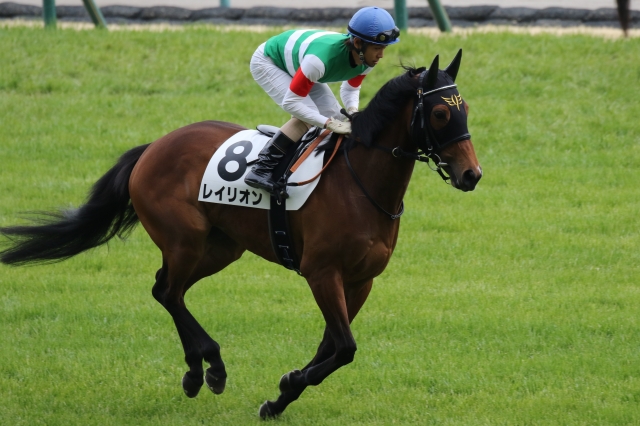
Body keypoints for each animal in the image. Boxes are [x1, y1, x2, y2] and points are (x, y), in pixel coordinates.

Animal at [0, 50, 481, 418]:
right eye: (441, 112)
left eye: (466, 110)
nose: (471, 175)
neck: (359, 183)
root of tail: (154, 146)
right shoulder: (322, 273)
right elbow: (344, 347)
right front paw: (288, 385)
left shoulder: (361, 280)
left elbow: (331, 344)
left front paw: (282, 394)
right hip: (185, 239)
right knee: (169, 291)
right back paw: (210, 368)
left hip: (221, 247)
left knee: (165, 289)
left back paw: (198, 371)